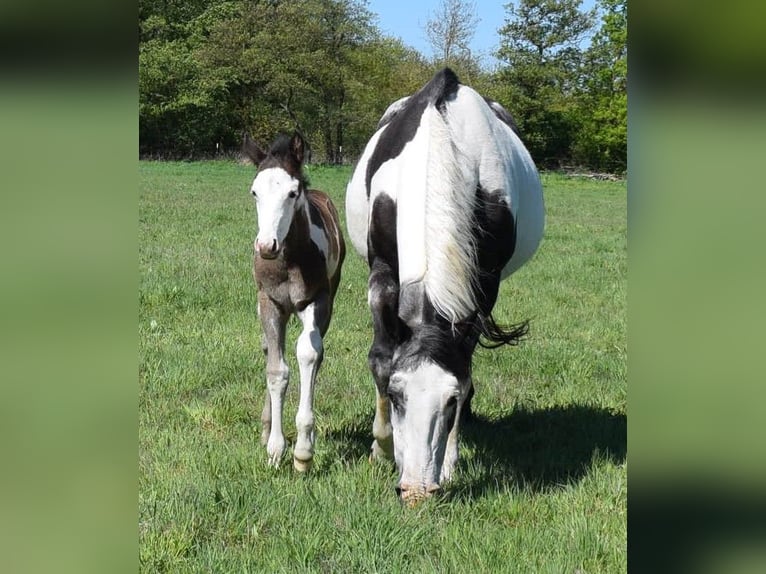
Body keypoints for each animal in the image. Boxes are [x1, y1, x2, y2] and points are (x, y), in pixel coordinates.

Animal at [243, 131, 345, 472]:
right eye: (255, 192)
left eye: (292, 192)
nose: (266, 246)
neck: (289, 261)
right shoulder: (270, 303)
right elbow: (276, 369)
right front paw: (274, 449)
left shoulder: (317, 301)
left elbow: (309, 354)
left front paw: (302, 451)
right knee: (269, 349)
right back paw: (265, 428)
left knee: (315, 351)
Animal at [345, 68, 545, 503]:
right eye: (396, 394)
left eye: (449, 401)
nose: (416, 492)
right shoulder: (382, 273)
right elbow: (381, 356)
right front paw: (381, 447)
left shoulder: (484, 286)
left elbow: (464, 364)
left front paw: (451, 461)